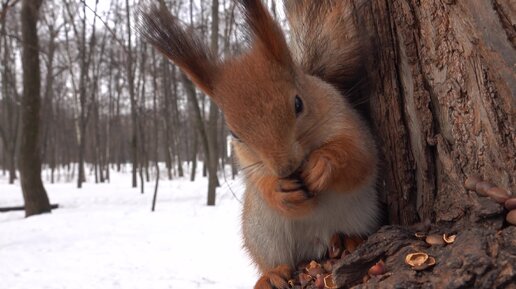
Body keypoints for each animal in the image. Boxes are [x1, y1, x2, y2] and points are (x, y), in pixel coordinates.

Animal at [139, 0, 380, 288]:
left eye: (298, 103)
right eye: (235, 134)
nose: (285, 168)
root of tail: (318, 244)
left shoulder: (351, 125)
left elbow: (358, 159)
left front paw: (323, 164)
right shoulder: (248, 163)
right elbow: (260, 182)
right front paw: (279, 190)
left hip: (362, 212)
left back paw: (350, 240)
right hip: (262, 233)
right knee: (271, 260)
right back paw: (272, 274)